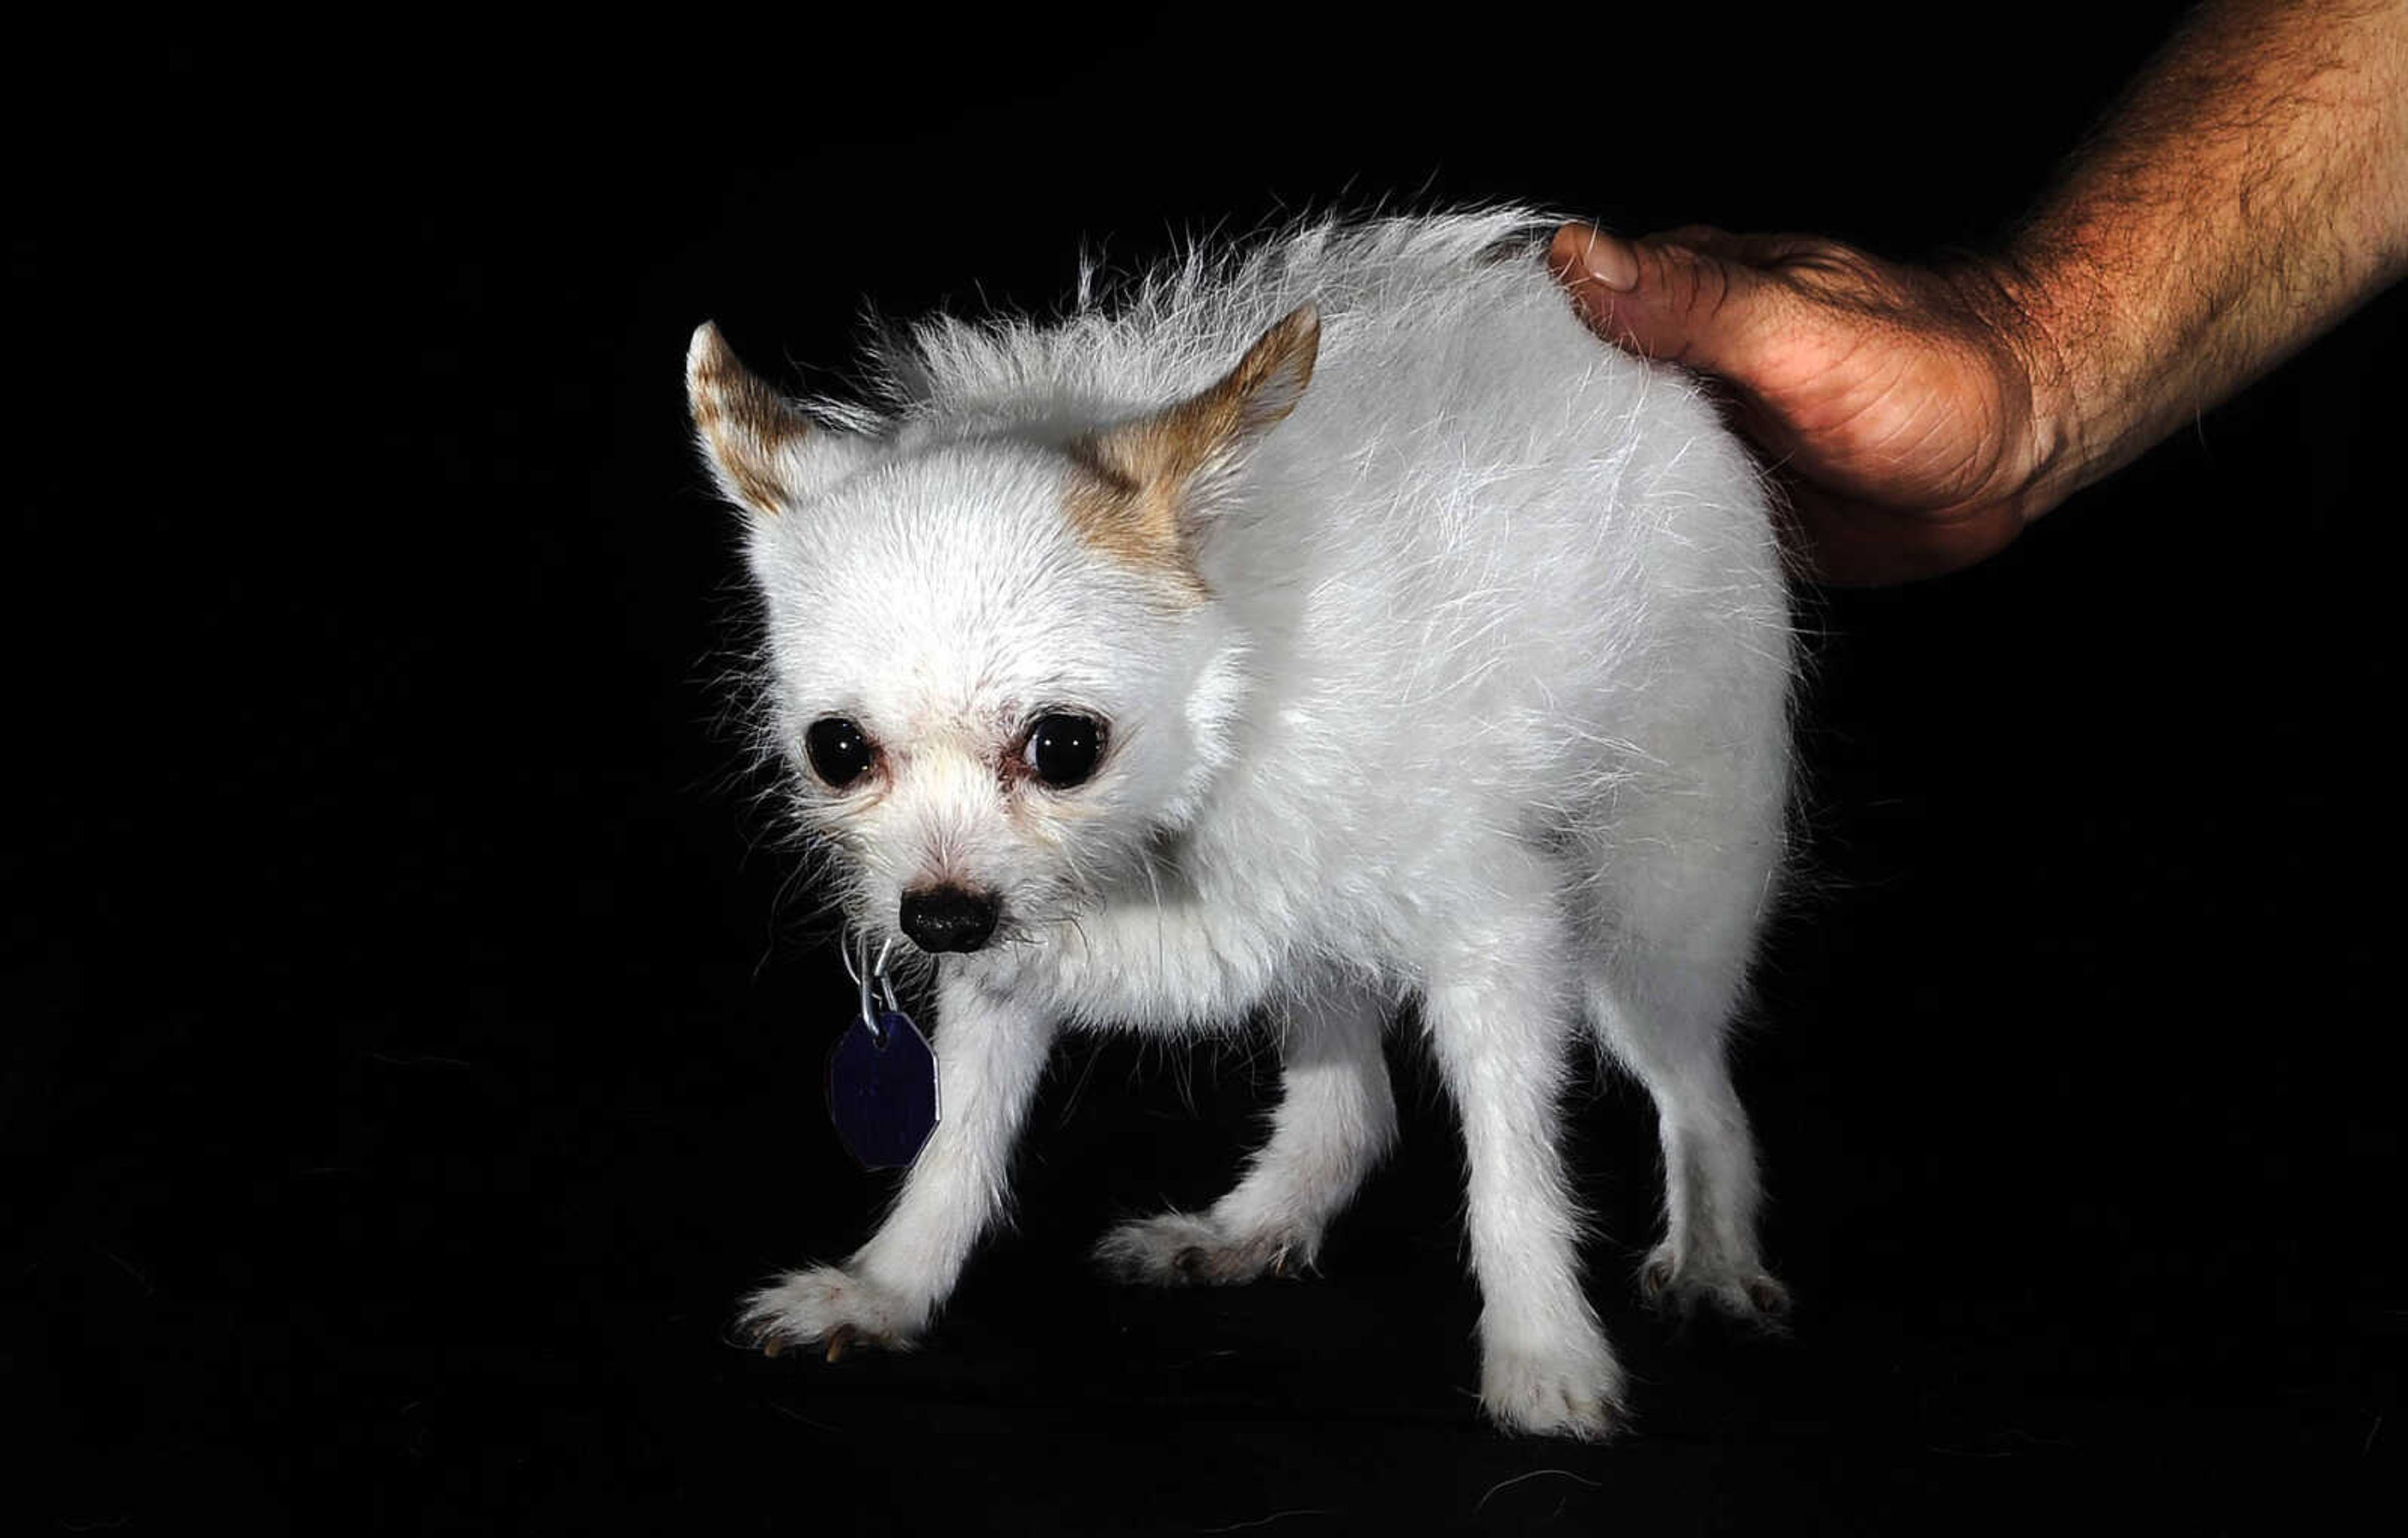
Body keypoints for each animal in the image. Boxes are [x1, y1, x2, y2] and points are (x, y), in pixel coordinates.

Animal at [689, 207, 1801, 1444]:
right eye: (837, 751)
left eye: (1064, 747)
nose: (934, 922)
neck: (1193, 769)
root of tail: (1648, 382)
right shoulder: (1006, 955)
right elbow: (955, 1138)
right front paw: (889, 1286)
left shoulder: (1500, 945)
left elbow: (1513, 1168)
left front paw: (1542, 1348)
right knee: (1353, 1106)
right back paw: (1250, 1226)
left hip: (1652, 916)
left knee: (1698, 1089)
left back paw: (1713, 1253)